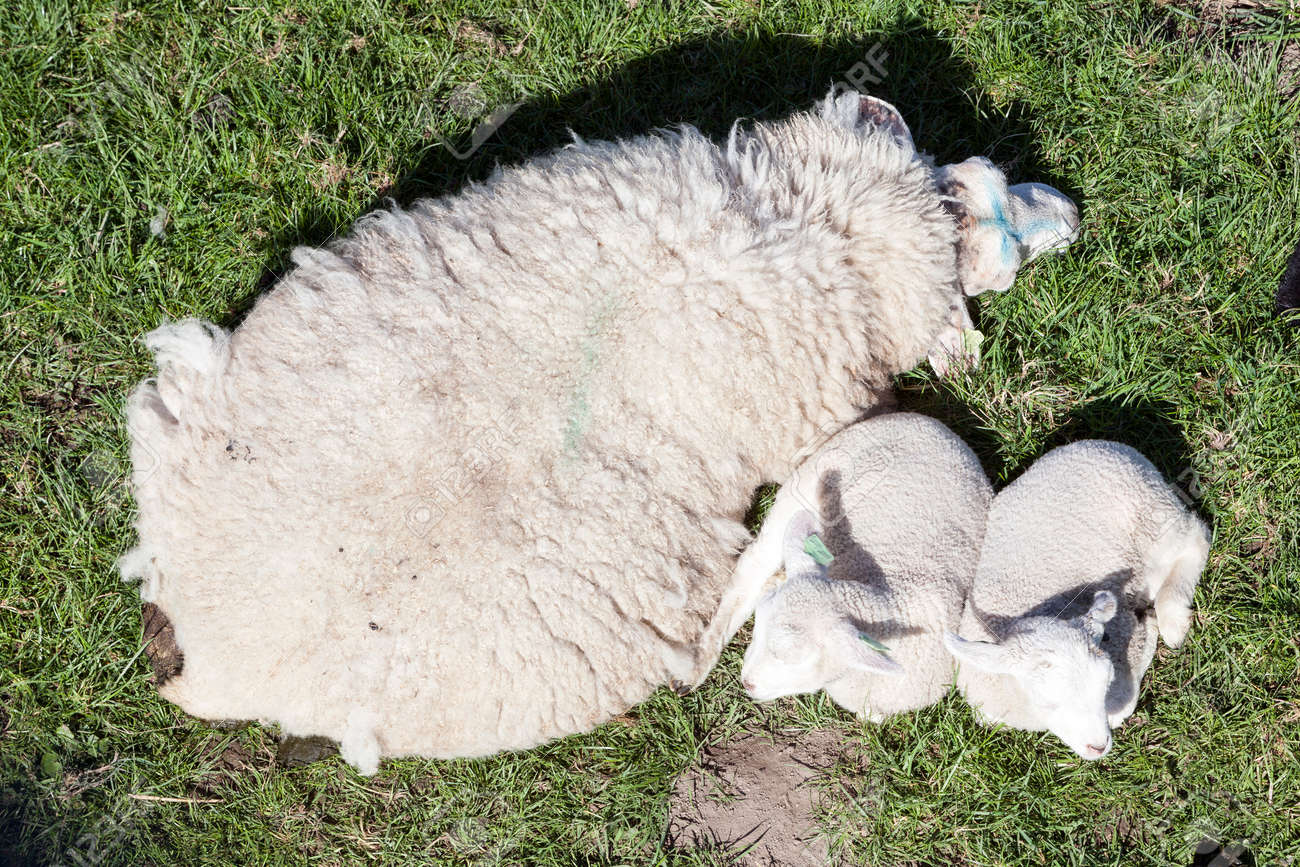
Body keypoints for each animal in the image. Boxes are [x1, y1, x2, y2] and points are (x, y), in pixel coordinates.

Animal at [944, 440, 1212, 760]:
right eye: (1046, 699)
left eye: (1105, 682)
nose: (1098, 746)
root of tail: (1104, 445)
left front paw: (1151, 629)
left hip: (1156, 522)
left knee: (1196, 539)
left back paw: (1173, 622)